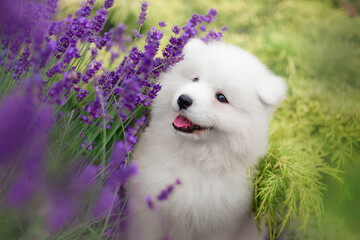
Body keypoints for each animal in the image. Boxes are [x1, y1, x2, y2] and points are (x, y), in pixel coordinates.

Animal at [128, 38, 286, 239]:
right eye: (195, 79)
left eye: (221, 97)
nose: (183, 99)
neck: (195, 160)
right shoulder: (147, 208)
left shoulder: (220, 224)